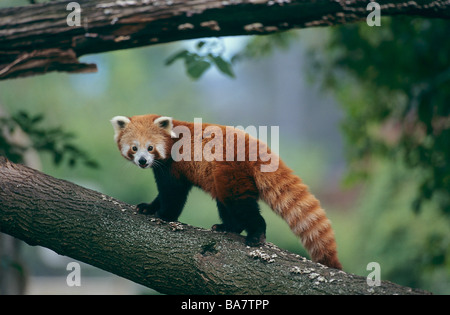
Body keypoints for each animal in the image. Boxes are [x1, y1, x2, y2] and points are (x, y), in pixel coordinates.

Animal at [111, 115, 342, 270]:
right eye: (134, 148)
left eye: (150, 148)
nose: (142, 161)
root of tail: (254, 146)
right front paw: (148, 208)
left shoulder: (174, 167)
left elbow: (173, 194)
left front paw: (164, 215)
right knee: (226, 204)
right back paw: (227, 227)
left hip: (231, 172)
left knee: (241, 205)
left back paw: (256, 234)